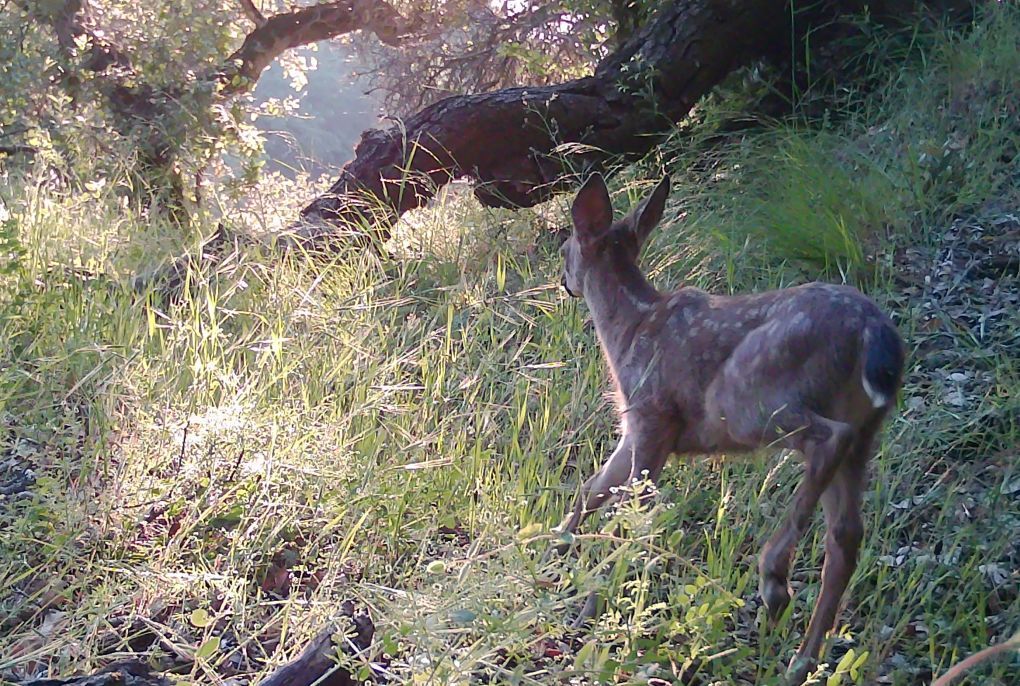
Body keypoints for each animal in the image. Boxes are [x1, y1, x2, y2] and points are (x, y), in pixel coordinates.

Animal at [553, 173, 905, 684]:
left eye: (565, 249)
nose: (564, 281)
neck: (629, 328)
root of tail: (875, 336)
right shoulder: (635, 429)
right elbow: (592, 489)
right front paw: (553, 556)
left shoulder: (652, 416)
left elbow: (631, 518)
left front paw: (592, 608)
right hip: (867, 429)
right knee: (846, 535)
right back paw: (801, 660)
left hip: (748, 399)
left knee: (828, 440)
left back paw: (774, 580)